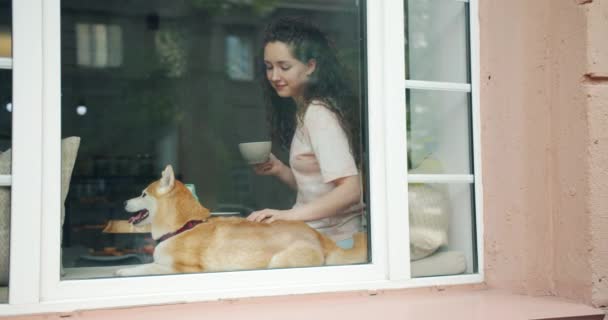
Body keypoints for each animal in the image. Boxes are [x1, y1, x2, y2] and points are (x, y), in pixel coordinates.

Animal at [116, 164, 368, 276]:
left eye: (143, 194)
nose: (123, 201)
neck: (183, 227)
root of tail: (320, 237)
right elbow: (144, 265)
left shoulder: (182, 269)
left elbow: (145, 269)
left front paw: (125, 272)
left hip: (277, 262)